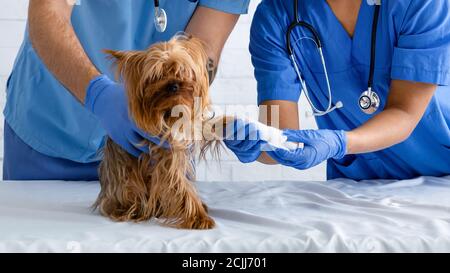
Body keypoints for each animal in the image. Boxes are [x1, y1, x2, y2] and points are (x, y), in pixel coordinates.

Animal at [94, 34, 224, 230]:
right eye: (157, 75)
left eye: (182, 71)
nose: (173, 85)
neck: (169, 113)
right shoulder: (165, 157)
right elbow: (180, 185)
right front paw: (199, 218)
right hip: (126, 183)